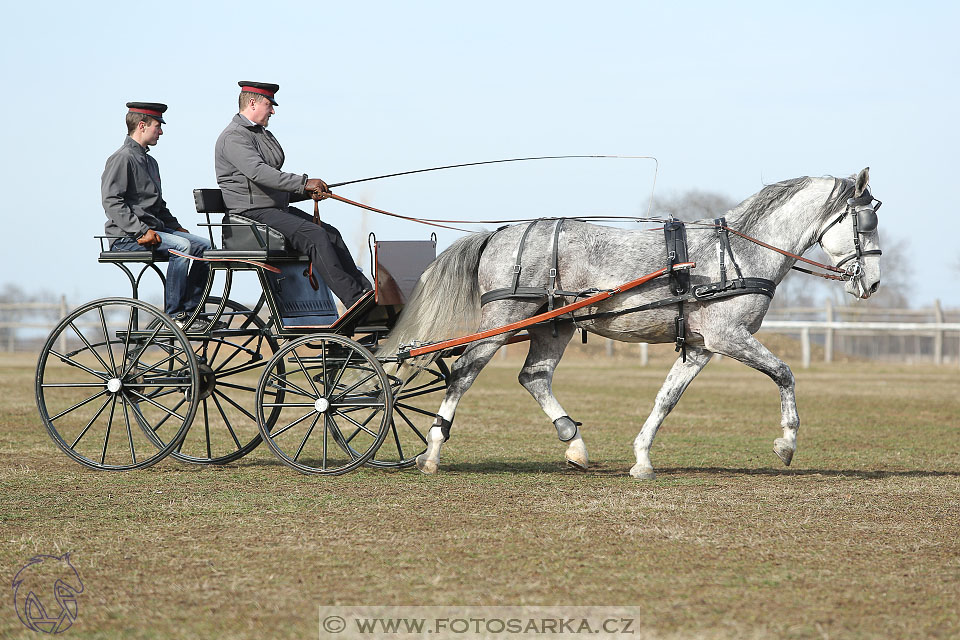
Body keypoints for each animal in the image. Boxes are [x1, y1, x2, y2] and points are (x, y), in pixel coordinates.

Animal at [378, 168, 880, 478]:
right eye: (867, 222)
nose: (872, 283)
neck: (737, 252)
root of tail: (500, 233)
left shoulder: (701, 346)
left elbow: (666, 399)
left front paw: (641, 458)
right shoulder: (728, 337)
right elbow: (784, 374)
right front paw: (787, 443)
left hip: (552, 327)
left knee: (533, 377)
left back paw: (574, 445)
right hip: (503, 319)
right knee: (463, 374)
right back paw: (433, 451)